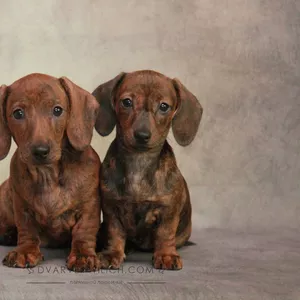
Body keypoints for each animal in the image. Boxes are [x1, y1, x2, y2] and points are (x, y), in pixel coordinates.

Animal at [0, 73, 101, 272]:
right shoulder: (21, 207)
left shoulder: (90, 206)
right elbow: (27, 230)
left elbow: (84, 231)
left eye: (57, 110)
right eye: (18, 113)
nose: (40, 151)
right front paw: (25, 251)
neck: (47, 175)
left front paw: (82, 255)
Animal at [92, 69, 203, 270]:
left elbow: (165, 233)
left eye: (164, 106)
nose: (142, 135)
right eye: (127, 102)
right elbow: (115, 232)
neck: (139, 161)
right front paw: (112, 253)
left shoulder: (168, 210)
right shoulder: (111, 208)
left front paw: (166, 255)